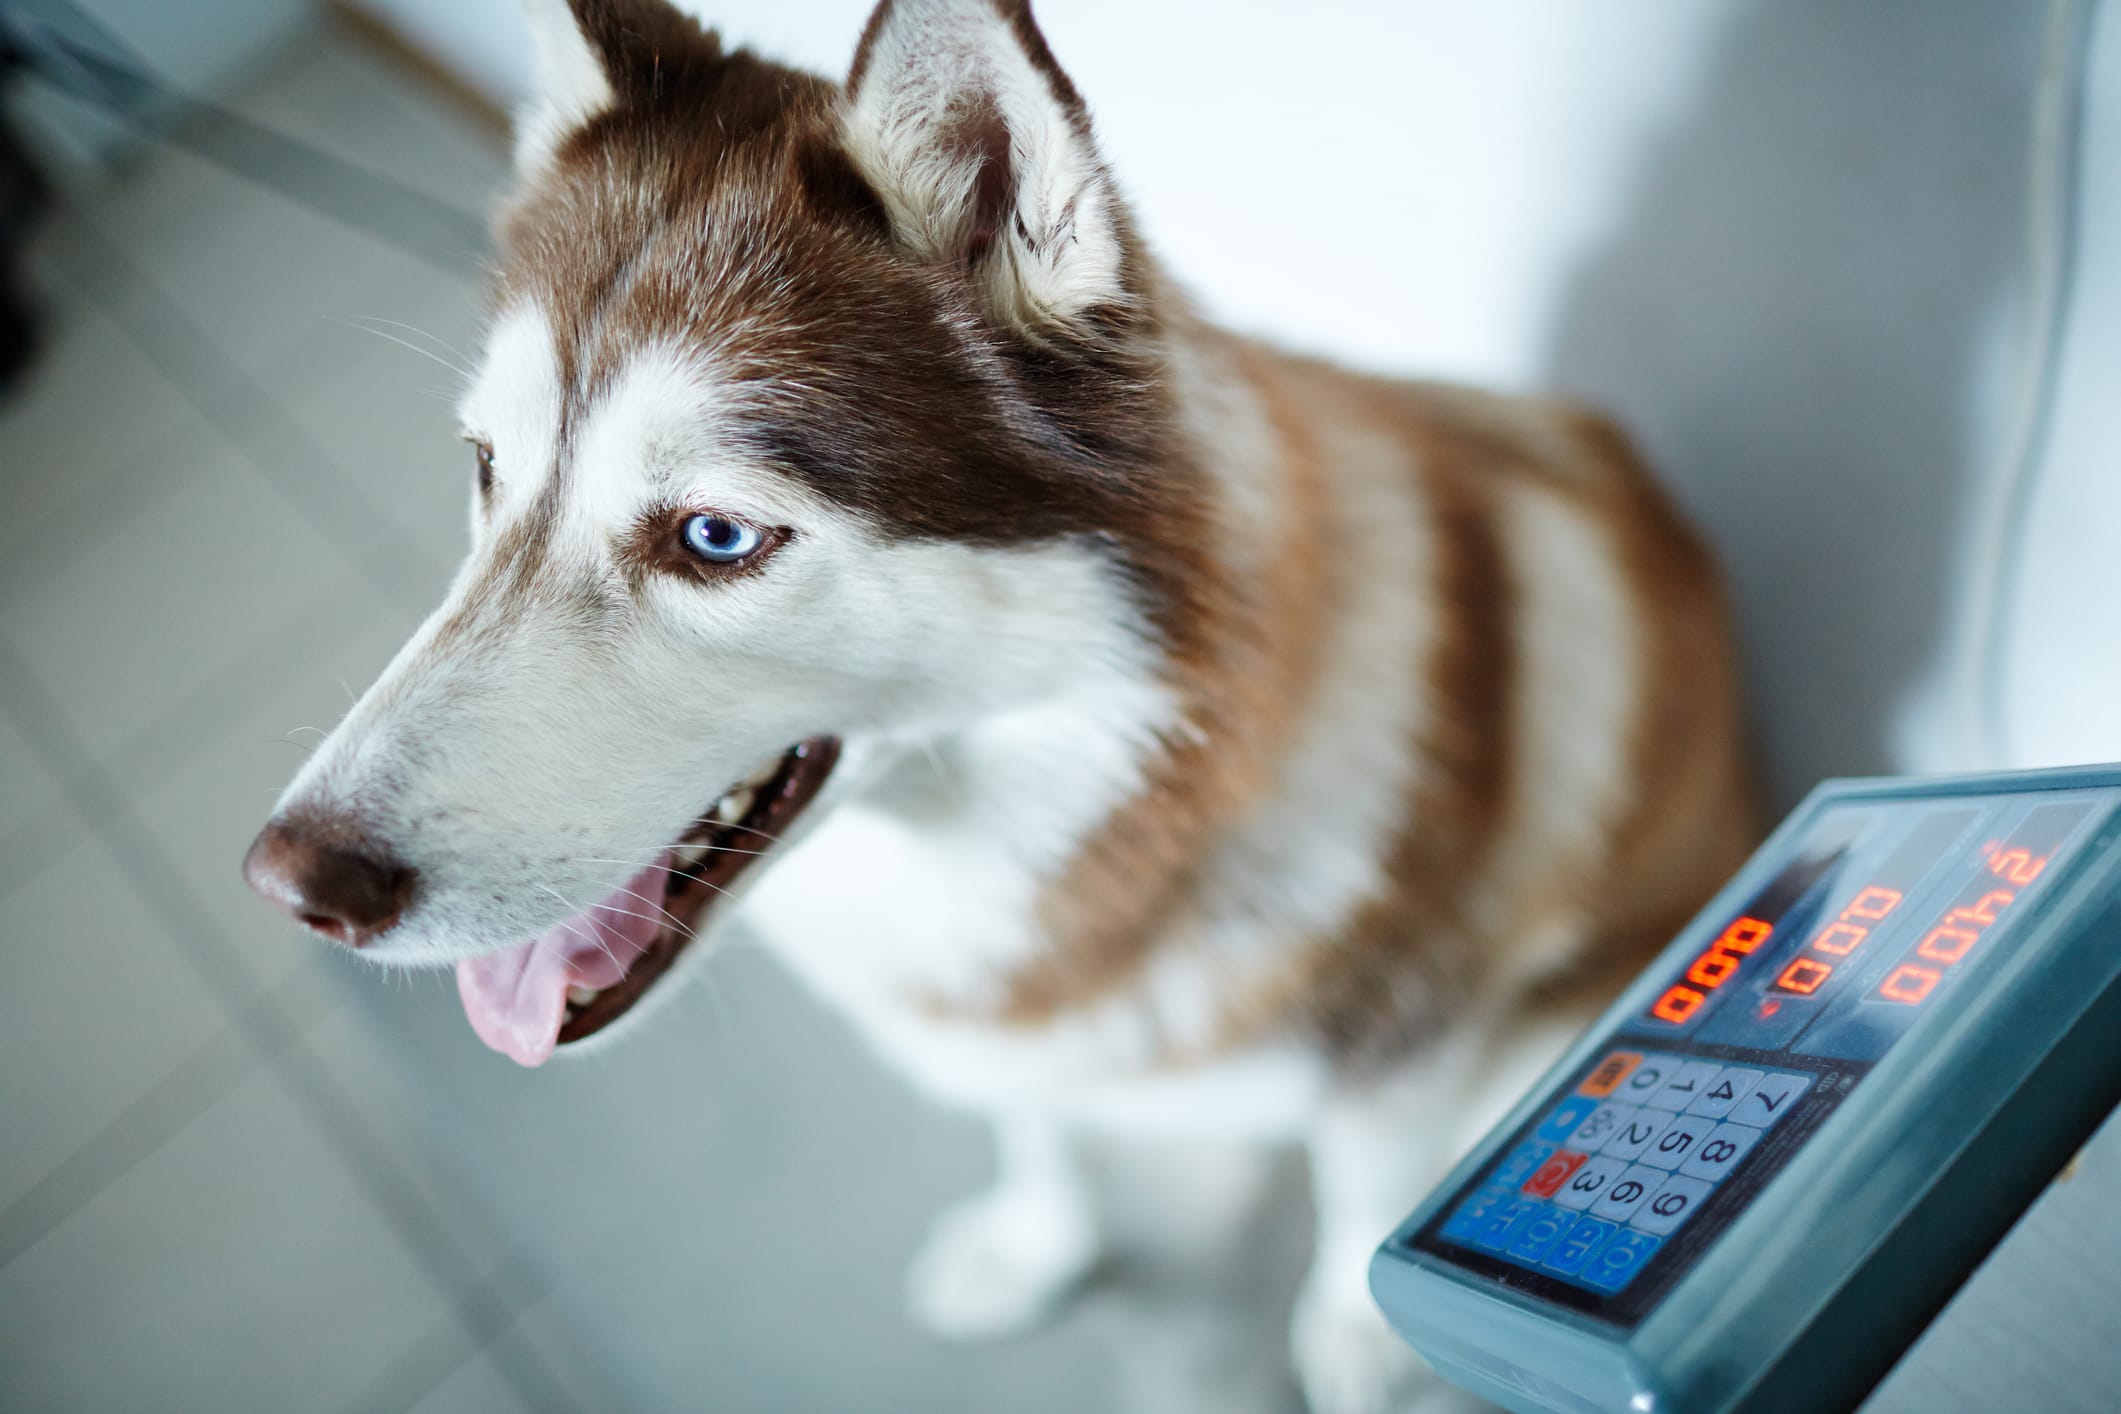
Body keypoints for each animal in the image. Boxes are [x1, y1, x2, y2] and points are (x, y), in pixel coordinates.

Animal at [240, 5, 1747, 1407]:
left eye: (715, 537)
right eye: (487, 466)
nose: (289, 881)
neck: (1118, 789)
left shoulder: (1407, 1046)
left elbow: (1370, 1205)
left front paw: (1363, 1338)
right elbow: (1037, 1123)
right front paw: (1035, 1241)